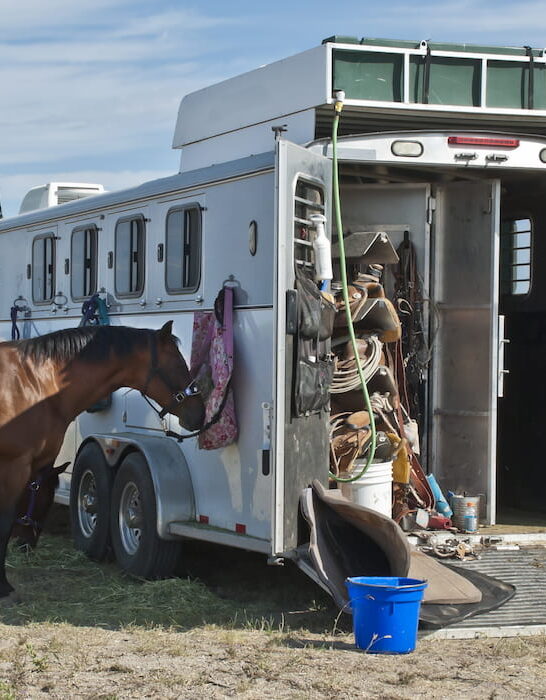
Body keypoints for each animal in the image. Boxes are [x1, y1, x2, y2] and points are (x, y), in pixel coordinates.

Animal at [0, 322, 204, 600]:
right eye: (177, 364)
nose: (200, 413)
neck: (35, 384)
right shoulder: (15, 465)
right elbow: (5, 519)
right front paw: (4, 586)